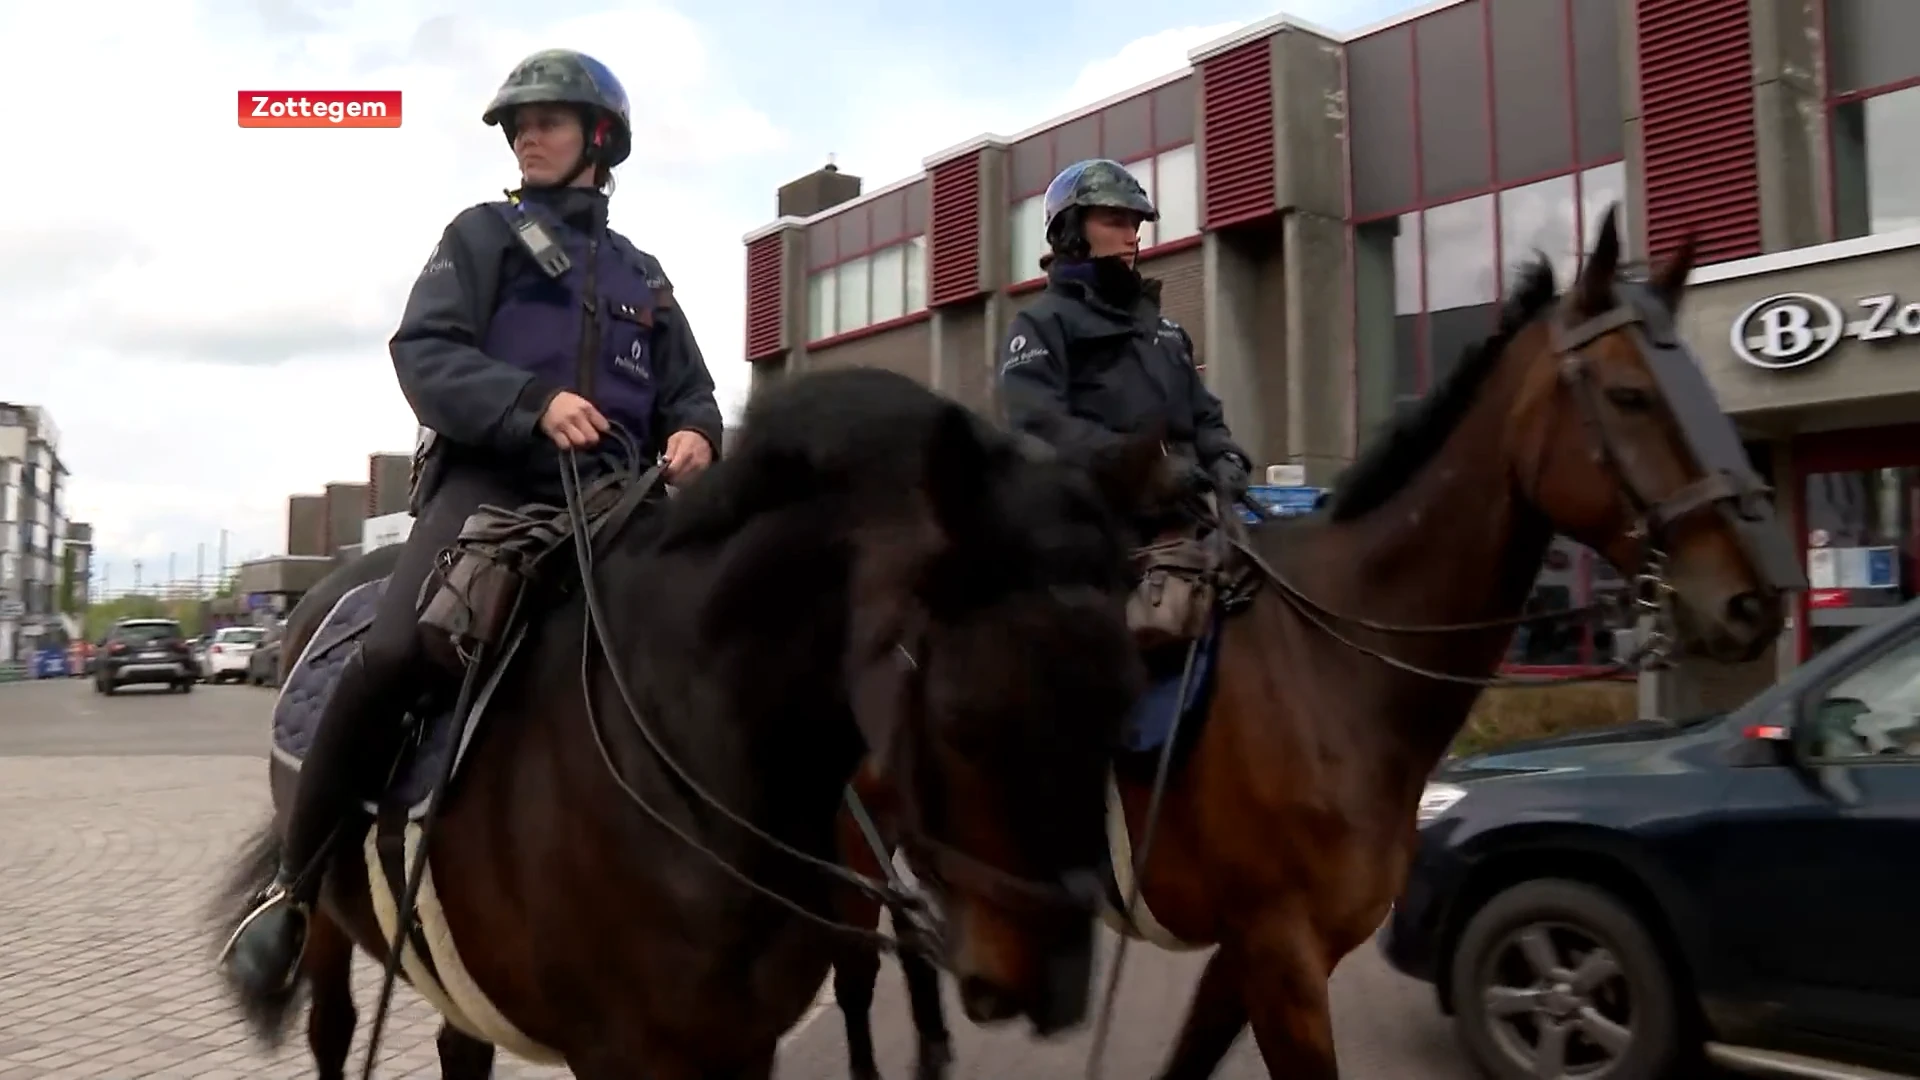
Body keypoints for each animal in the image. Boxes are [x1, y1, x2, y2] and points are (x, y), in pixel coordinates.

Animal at [202, 365, 1159, 1068]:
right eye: (962, 715)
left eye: (1126, 692)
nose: (1055, 985)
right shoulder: (624, 1053)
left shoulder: (743, 1041)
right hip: (329, 926)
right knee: (329, 1025)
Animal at [833, 210, 1804, 1076]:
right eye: (1630, 394)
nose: (1755, 598)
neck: (1335, 667)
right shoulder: (1282, 957)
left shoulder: (1254, 957)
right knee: (850, 978)